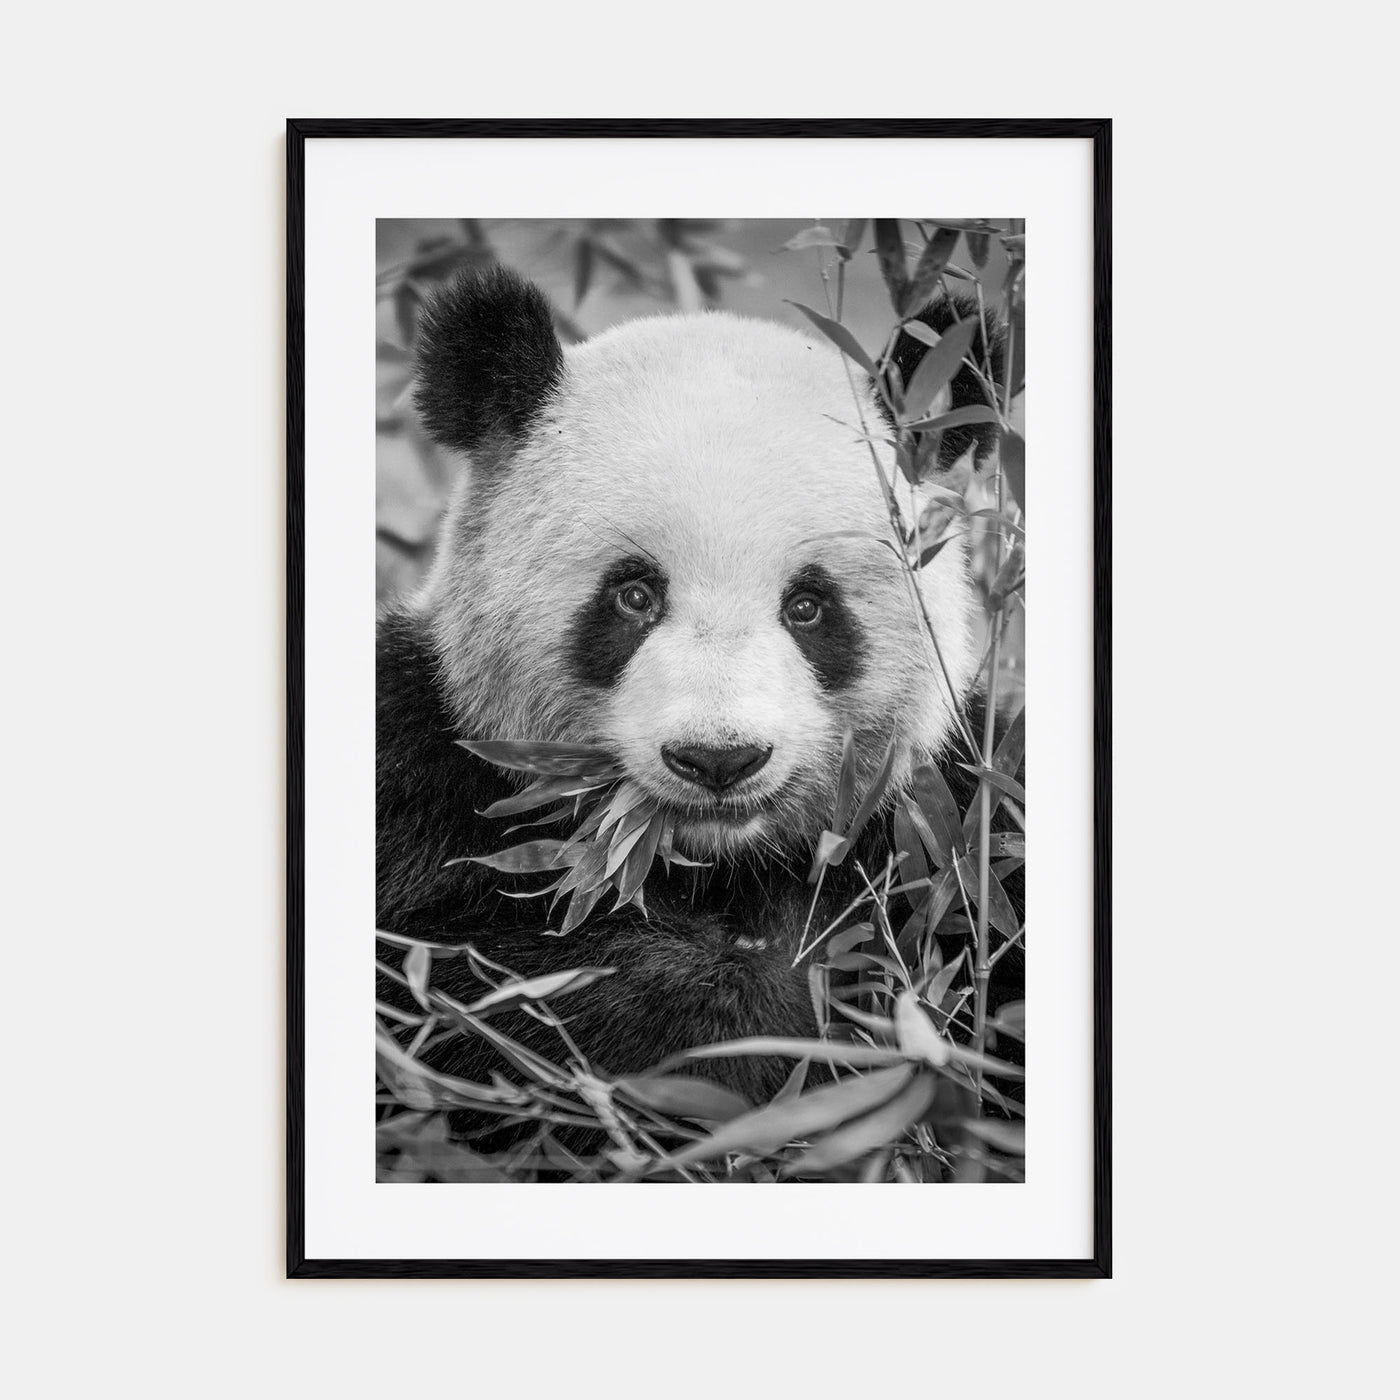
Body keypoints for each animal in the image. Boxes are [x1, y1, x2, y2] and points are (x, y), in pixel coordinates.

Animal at [377, 265, 1020, 1121]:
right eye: (634, 596)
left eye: (808, 607)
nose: (719, 759)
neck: (712, 864)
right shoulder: (420, 773)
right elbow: (456, 990)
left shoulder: (955, 818)